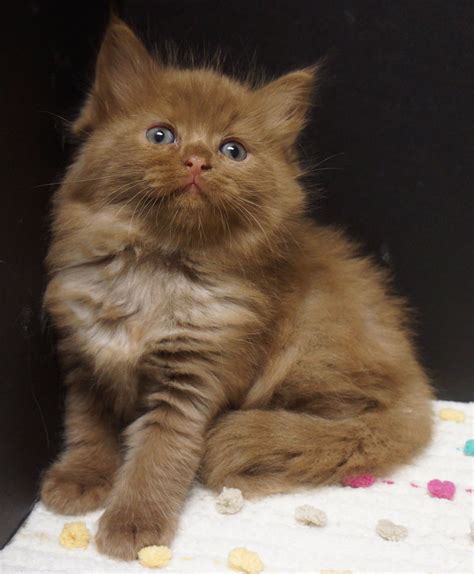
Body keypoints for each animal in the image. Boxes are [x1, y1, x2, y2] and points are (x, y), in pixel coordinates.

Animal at [40, 16, 434, 564]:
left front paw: (134, 525)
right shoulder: (85, 356)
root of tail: (418, 385)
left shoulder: (196, 374)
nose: (197, 160)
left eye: (233, 150)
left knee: (359, 424)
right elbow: (87, 429)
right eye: (161, 134)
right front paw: (79, 480)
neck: (159, 267)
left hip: (312, 346)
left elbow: (160, 453)